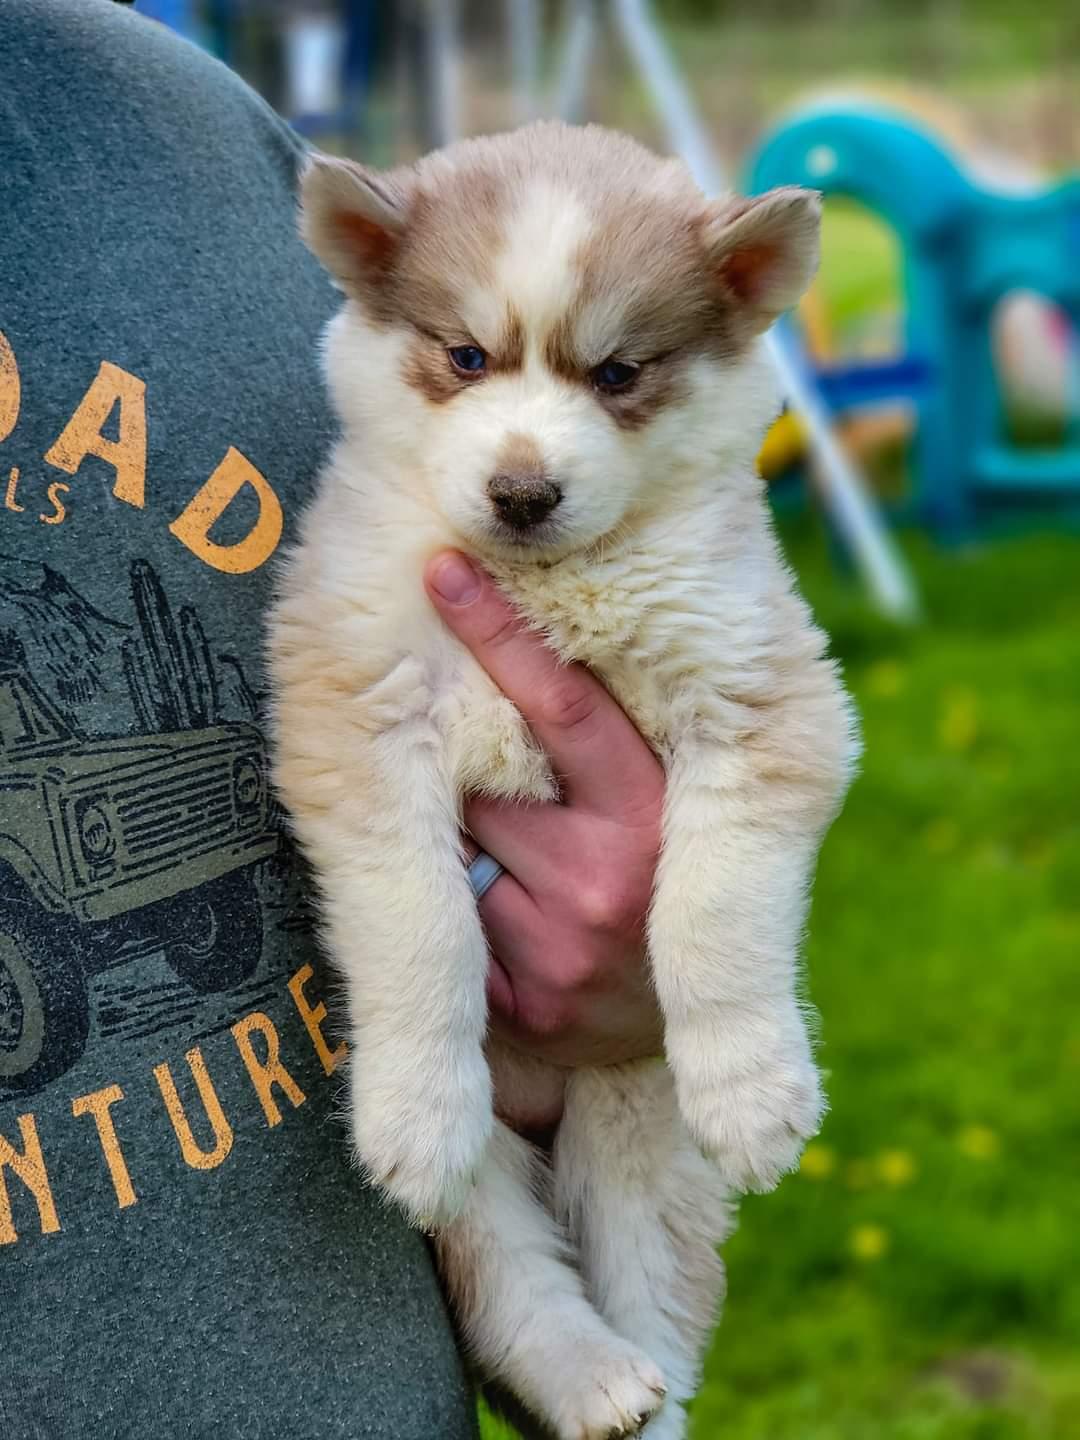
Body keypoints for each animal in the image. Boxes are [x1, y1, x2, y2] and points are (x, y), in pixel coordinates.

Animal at [268, 121, 858, 1440]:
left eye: (619, 373)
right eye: (466, 356)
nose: (524, 492)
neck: (544, 586)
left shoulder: (759, 696)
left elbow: (712, 913)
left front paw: (753, 1085)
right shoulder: (359, 716)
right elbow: (420, 925)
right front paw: (412, 1105)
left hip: (635, 1134)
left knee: (656, 1313)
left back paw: (628, 1390)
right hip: (491, 1182)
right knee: (506, 1273)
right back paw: (577, 1365)